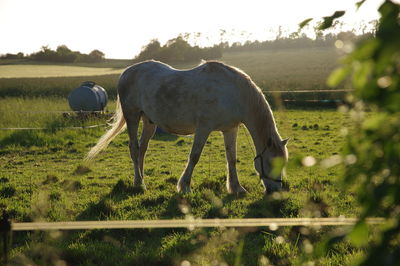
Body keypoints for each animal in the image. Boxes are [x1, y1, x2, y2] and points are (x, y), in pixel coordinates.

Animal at [86, 59, 288, 193]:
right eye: (271, 163)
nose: (275, 191)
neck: (233, 93)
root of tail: (126, 73)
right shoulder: (204, 128)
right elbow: (194, 156)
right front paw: (184, 187)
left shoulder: (230, 129)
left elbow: (231, 158)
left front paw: (236, 188)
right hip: (133, 117)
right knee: (134, 149)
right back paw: (140, 184)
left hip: (149, 122)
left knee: (142, 149)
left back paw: (140, 180)